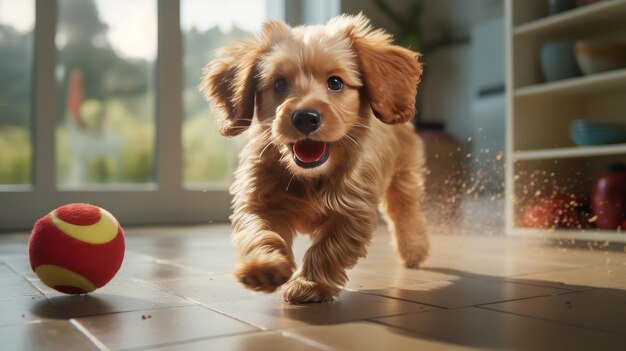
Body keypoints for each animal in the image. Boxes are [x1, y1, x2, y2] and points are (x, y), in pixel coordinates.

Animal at [202, 13, 426, 304]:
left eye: (335, 82)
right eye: (279, 83)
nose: (306, 117)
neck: (308, 176)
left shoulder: (353, 211)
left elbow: (329, 248)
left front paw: (309, 284)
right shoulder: (258, 200)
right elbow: (259, 231)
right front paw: (263, 266)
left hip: (404, 175)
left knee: (405, 212)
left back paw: (414, 249)